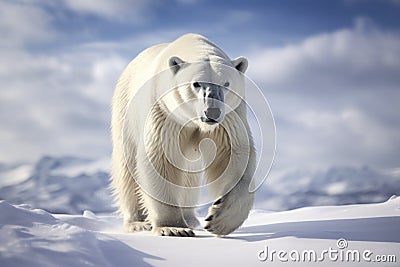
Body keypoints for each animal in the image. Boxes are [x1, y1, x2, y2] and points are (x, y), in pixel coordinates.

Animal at [111, 33, 256, 237]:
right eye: (196, 83)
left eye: (226, 84)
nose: (212, 112)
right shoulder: (164, 112)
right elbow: (160, 159)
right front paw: (173, 228)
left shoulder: (229, 117)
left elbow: (234, 155)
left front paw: (218, 220)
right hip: (125, 112)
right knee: (127, 168)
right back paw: (138, 223)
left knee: (189, 177)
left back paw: (191, 218)